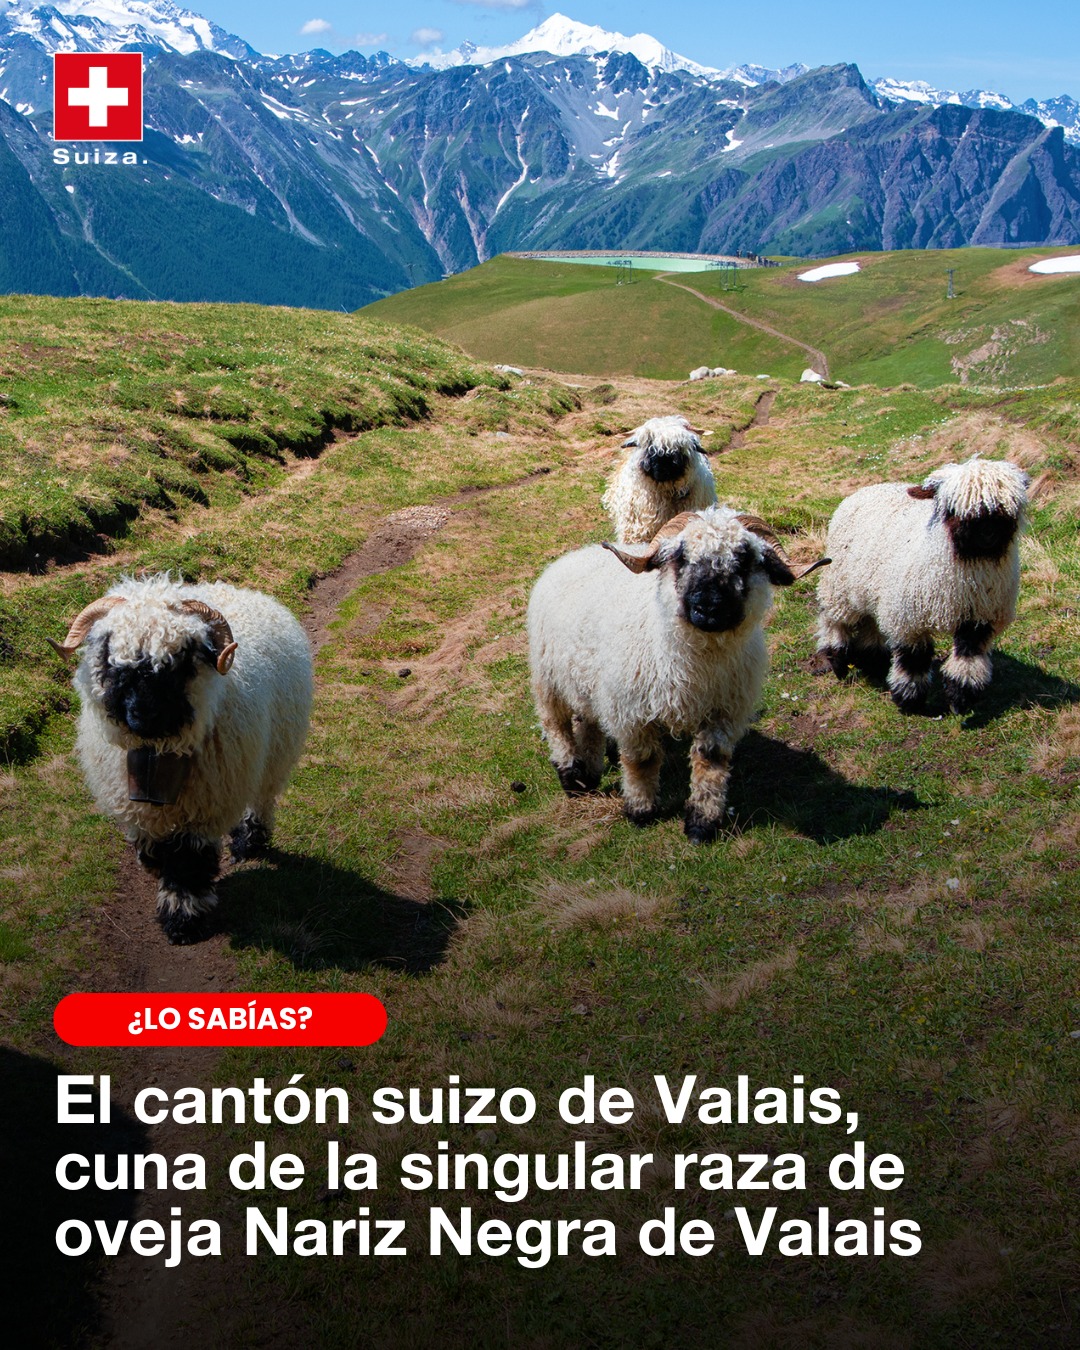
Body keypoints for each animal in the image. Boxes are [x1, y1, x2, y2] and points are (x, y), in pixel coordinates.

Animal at [50, 574, 314, 943]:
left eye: (183, 657)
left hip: (273, 754)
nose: (143, 715)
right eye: (109, 653)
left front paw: (182, 921)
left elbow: (188, 862)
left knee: (262, 798)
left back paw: (249, 841)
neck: (156, 754)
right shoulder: (135, 803)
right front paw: (152, 864)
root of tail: (239, 590)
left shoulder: (205, 807)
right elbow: (150, 845)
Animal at [527, 508, 828, 842]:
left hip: (586, 682)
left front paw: (702, 823)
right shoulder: (632, 711)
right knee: (556, 724)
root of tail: (579, 553)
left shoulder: (723, 712)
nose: (708, 608)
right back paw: (571, 778)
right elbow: (641, 760)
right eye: (681, 557)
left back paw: (589, 775)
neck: (695, 666)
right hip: (547, 678)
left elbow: (710, 762)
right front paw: (641, 811)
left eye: (745, 559)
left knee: (588, 721)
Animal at [816, 455, 1029, 714]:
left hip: (873, 589)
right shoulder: (909, 619)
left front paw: (961, 698)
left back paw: (874, 661)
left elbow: (968, 658)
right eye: (951, 508)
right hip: (838, 585)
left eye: (1007, 507)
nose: (987, 533)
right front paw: (910, 700)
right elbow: (913, 659)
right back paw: (836, 659)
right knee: (834, 619)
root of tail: (867, 489)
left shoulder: (979, 618)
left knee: (871, 621)